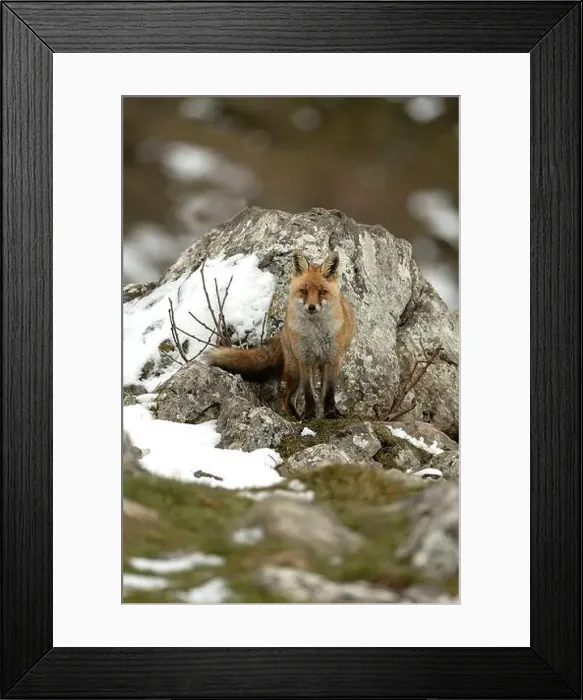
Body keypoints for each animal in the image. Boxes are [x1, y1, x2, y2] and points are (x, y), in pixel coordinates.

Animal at [207, 250, 355, 420]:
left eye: (322, 292)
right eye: (304, 291)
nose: (311, 307)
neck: (315, 334)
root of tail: (283, 331)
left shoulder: (333, 358)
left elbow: (329, 392)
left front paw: (330, 413)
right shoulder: (304, 359)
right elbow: (309, 393)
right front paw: (309, 415)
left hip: (320, 366)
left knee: (317, 393)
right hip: (295, 371)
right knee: (288, 398)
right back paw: (298, 417)